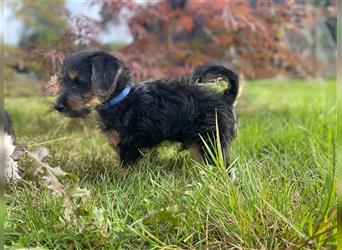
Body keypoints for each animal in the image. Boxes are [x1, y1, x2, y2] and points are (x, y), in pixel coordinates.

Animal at [54, 48, 240, 166]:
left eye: (79, 82)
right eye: (62, 81)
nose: (57, 106)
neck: (120, 100)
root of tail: (225, 97)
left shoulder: (128, 147)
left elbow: (125, 169)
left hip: (211, 141)